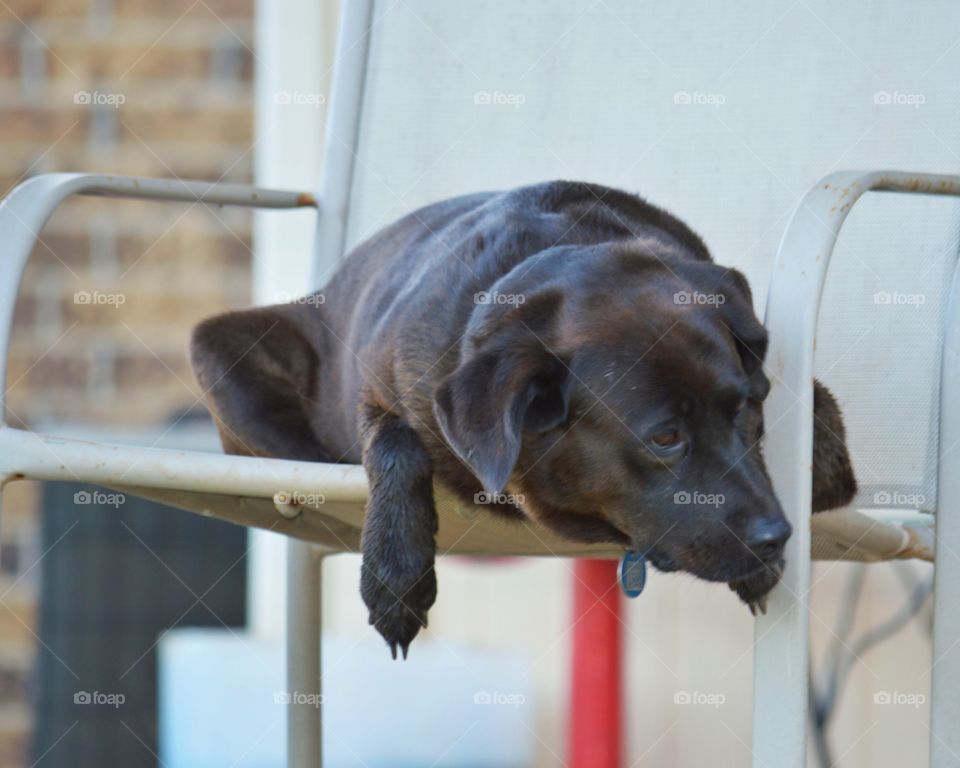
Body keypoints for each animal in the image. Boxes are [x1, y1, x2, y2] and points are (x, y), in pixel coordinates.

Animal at [189, 178, 856, 656]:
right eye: (665, 437)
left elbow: (815, 406)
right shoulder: (381, 394)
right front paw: (396, 575)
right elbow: (395, 444)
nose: (776, 537)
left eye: (745, 410)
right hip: (216, 345)